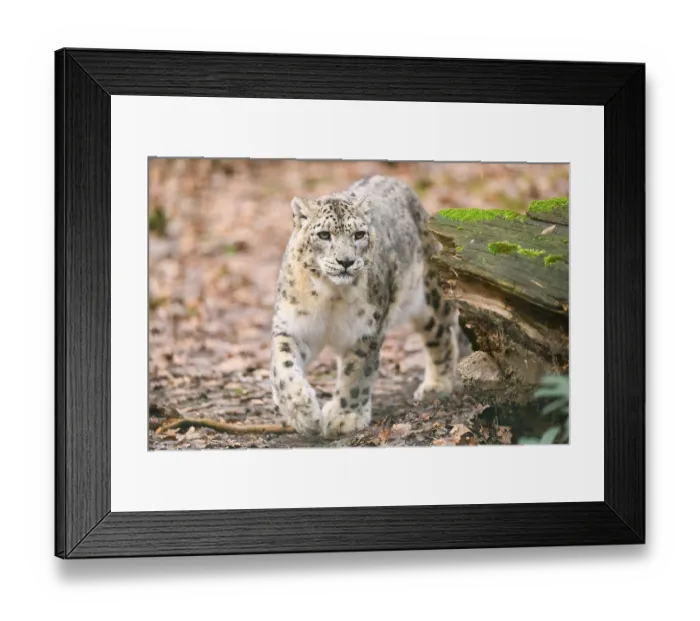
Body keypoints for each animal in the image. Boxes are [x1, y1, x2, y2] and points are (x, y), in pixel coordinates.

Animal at [270, 174, 459, 439]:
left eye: (359, 234)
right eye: (324, 235)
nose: (346, 261)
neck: (331, 297)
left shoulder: (365, 331)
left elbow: (356, 374)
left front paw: (344, 416)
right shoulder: (294, 327)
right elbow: (283, 366)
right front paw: (303, 412)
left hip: (429, 296)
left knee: (442, 334)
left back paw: (437, 385)